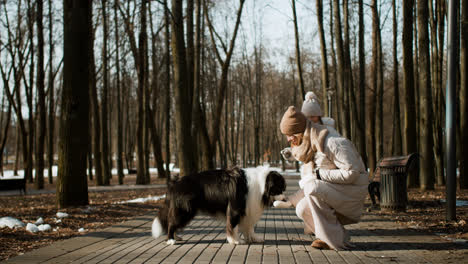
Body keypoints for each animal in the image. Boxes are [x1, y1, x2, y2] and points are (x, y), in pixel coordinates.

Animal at [152, 167, 288, 245]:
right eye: (279, 189)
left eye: (283, 189)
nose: (285, 199)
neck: (261, 184)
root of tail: (175, 184)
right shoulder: (235, 209)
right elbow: (233, 226)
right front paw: (234, 240)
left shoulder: (248, 209)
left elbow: (249, 227)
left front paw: (254, 238)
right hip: (184, 210)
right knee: (171, 223)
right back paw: (171, 240)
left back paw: (176, 237)